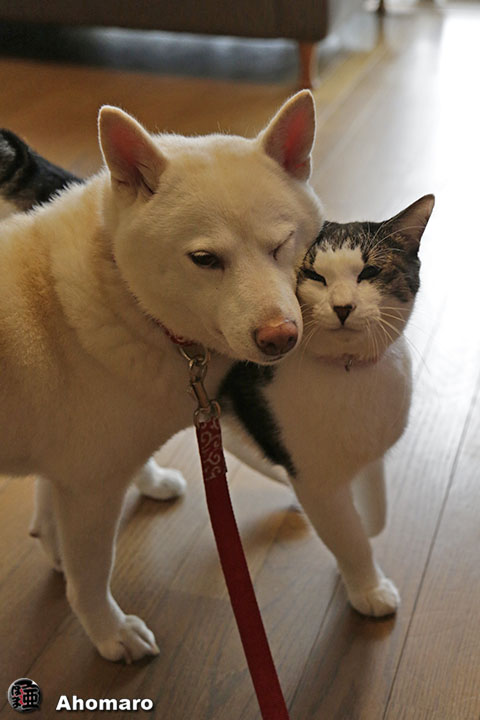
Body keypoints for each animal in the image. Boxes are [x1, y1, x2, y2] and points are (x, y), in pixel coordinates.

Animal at [0, 91, 323, 661]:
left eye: (282, 243)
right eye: (205, 259)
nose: (280, 338)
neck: (122, 294)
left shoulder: (73, 463)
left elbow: (54, 499)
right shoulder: (90, 491)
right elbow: (90, 575)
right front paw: (108, 631)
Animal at [220, 195, 434, 616]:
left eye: (369, 271)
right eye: (313, 276)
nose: (343, 306)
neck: (349, 372)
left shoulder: (370, 451)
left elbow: (374, 517)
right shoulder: (314, 479)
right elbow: (349, 537)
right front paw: (368, 589)